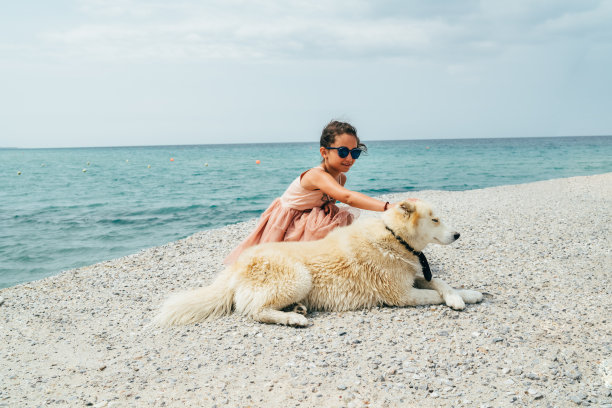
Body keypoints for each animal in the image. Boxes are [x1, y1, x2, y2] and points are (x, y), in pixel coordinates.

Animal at [157, 201, 482, 328]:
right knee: (254, 311)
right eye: (435, 219)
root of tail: (236, 266)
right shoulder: (401, 295)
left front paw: (467, 294)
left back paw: (298, 309)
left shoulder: (416, 274)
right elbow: (434, 294)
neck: (396, 238)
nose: (458, 234)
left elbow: (441, 282)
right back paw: (294, 318)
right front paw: (456, 300)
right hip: (298, 277)